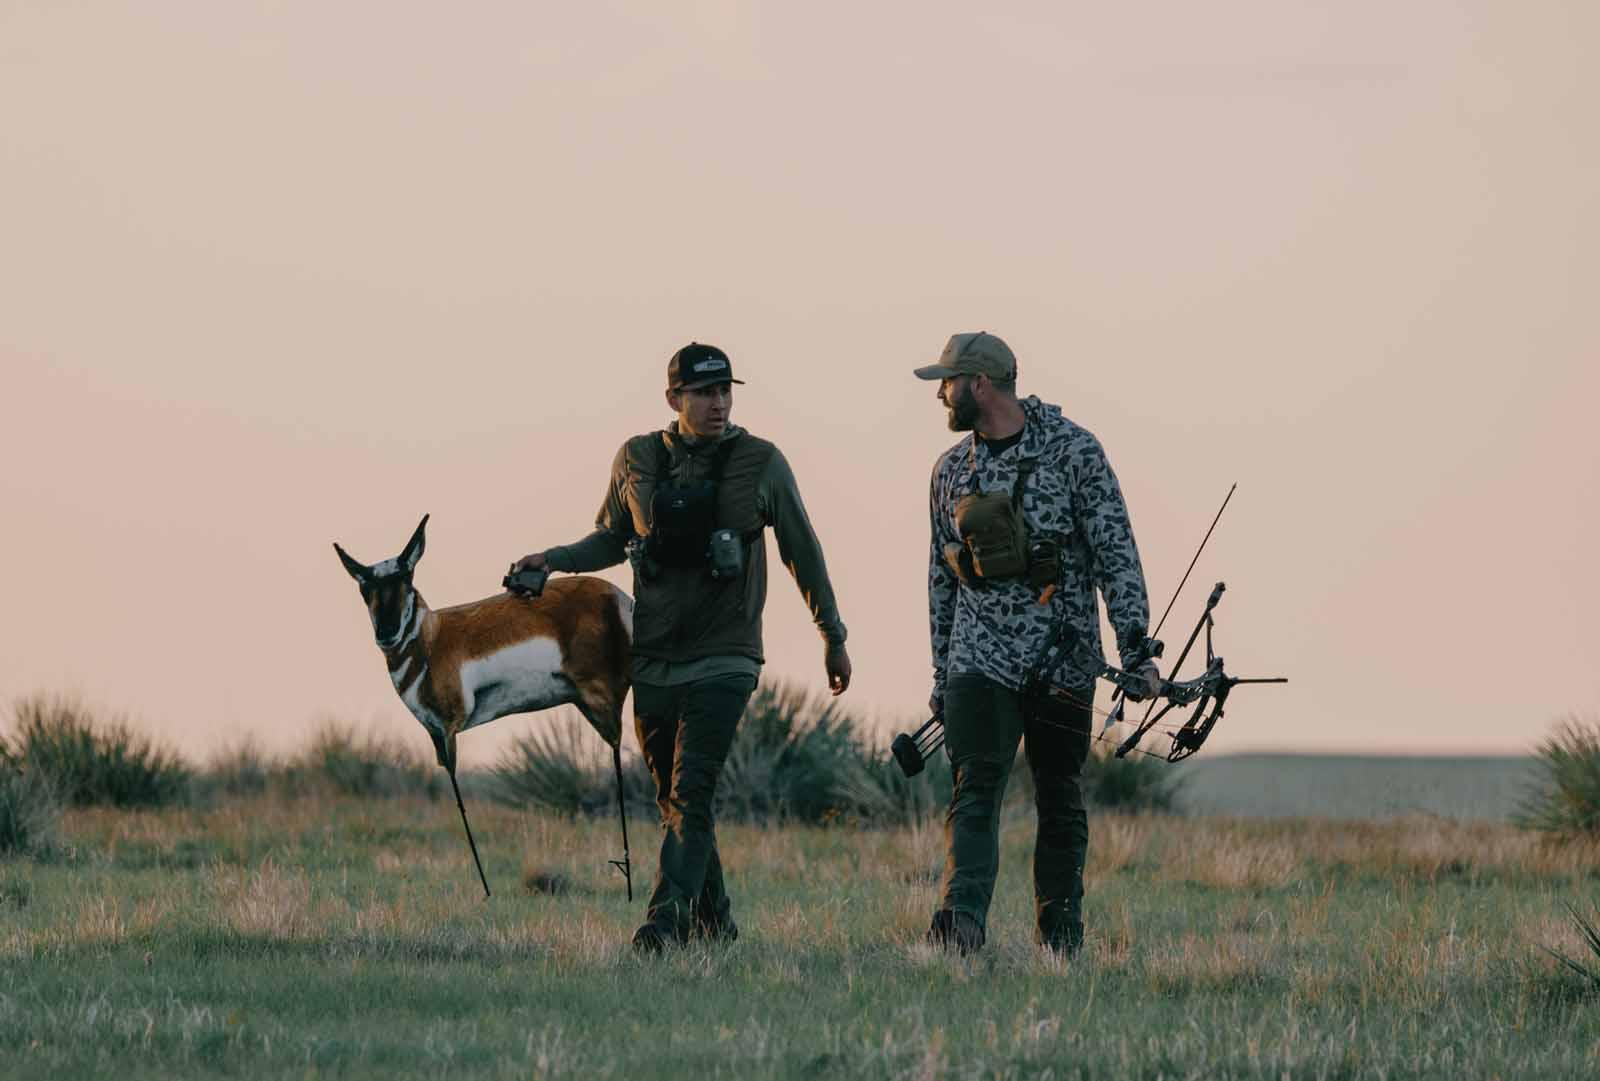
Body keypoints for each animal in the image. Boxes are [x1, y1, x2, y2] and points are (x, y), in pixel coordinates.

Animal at [333, 514, 636, 895]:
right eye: (365, 588)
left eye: (406, 579)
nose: (386, 633)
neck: (432, 640)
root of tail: (621, 599)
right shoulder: (436, 736)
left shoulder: (448, 730)